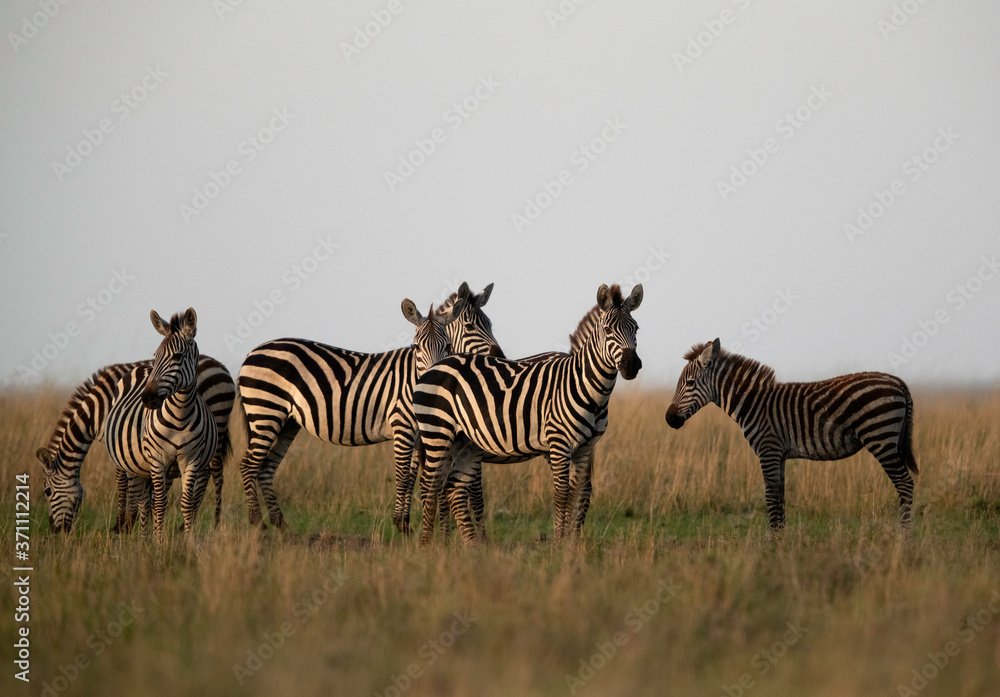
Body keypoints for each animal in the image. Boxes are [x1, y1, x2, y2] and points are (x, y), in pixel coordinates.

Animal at [36, 355, 234, 534]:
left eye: (47, 491)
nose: (55, 531)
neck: (97, 410)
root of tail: (221, 366)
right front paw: (140, 520)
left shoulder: (119, 440)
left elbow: (121, 480)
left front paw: (122, 524)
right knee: (208, 473)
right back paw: (188, 523)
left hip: (215, 424)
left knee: (214, 473)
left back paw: (212, 523)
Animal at [103, 309, 219, 541]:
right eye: (156, 356)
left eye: (177, 356)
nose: (147, 398)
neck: (180, 416)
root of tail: (139, 367)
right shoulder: (157, 459)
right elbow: (159, 504)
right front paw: (158, 543)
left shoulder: (190, 460)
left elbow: (186, 503)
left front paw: (188, 542)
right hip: (133, 465)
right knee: (143, 501)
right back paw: (145, 540)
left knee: (148, 500)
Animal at [236, 289, 496, 533]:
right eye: (416, 347)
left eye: (448, 346)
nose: (498, 353)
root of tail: (251, 352)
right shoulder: (402, 425)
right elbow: (403, 476)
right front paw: (400, 524)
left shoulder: (418, 433)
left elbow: (412, 476)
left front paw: (405, 524)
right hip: (266, 411)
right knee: (248, 465)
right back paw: (258, 524)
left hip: (287, 422)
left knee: (266, 467)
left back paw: (281, 525)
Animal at [413, 283, 643, 545]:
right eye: (607, 330)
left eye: (636, 328)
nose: (631, 365)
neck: (583, 384)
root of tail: (435, 367)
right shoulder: (559, 444)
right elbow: (562, 494)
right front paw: (559, 543)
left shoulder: (584, 448)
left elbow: (578, 493)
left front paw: (571, 544)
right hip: (437, 434)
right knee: (430, 486)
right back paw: (429, 545)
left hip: (462, 442)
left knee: (451, 488)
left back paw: (469, 546)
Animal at [664, 338, 918, 530]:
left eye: (689, 383)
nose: (669, 419)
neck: (754, 403)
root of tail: (899, 382)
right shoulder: (780, 455)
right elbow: (780, 498)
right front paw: (781, 541)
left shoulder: (768, 450)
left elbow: (770, 498)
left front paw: (773, 544)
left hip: (881, 437)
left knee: (905, 483)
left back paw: (903, 538)